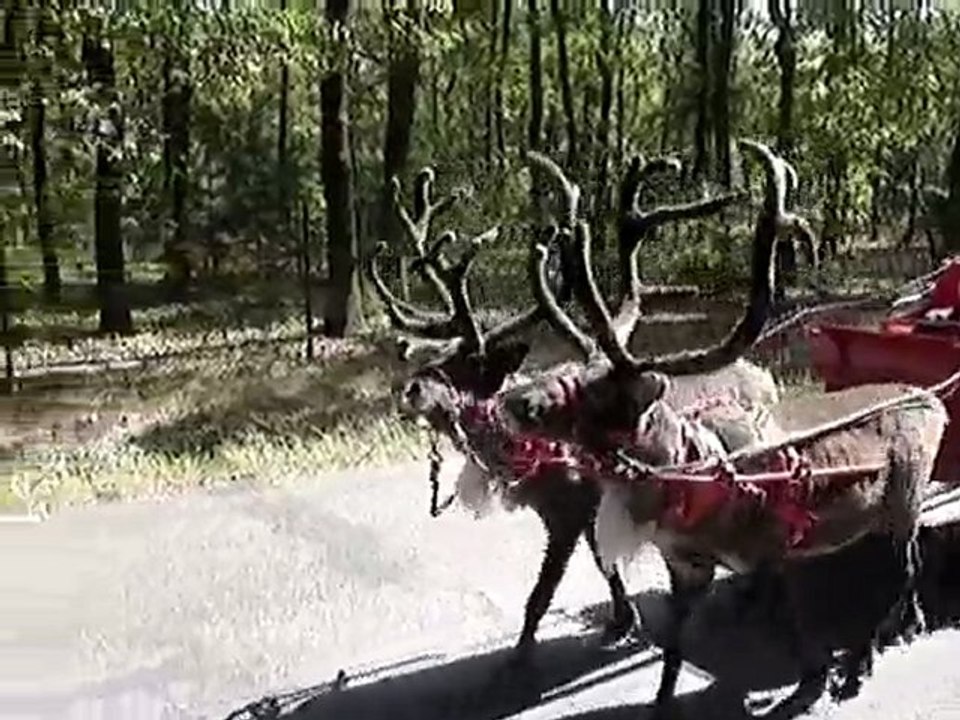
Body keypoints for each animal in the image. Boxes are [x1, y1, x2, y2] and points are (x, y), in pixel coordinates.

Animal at [498, 139, 951, 717]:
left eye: (599, 393)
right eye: (571, 369)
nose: (515, 400)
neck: (697, 483)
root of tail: (933, 400)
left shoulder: (774, 550)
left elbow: (796, 625)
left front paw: (814, 680)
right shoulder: (683, 565)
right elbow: (673, 646)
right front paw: (661, 701)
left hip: (905, 496)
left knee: (902, 570)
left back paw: (862, 660)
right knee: (899, 568)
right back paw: (894, 633)